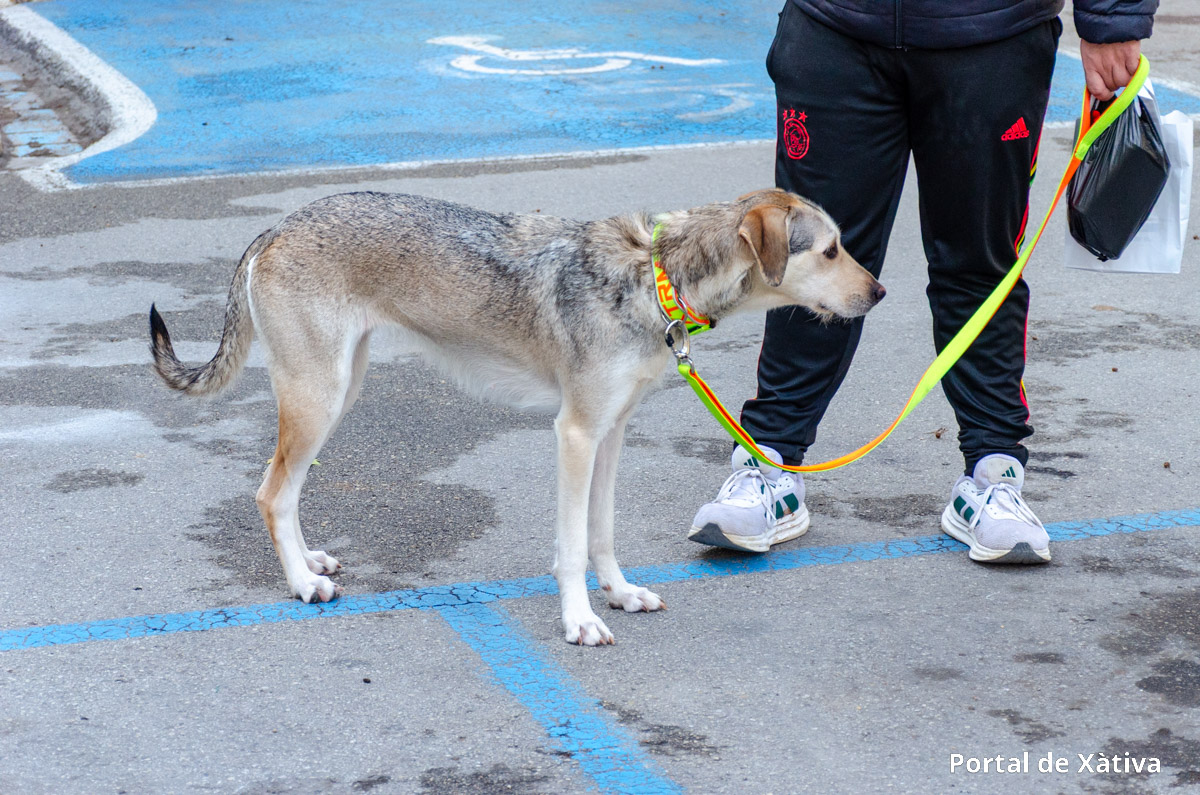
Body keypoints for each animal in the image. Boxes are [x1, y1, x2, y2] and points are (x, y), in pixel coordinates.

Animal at [148, 188, 884, 645]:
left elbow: (602, 535)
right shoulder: (576, 435)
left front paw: (619, 593)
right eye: (829, 250)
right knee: (271, 492)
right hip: (318, 396)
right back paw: (302, 582)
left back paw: (309, 561)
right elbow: (570, 549)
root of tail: (276, 227)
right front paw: (580, 621)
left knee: (287, 490)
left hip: (339, 391)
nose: (879, 292)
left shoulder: (611, 434)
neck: (655, 274)